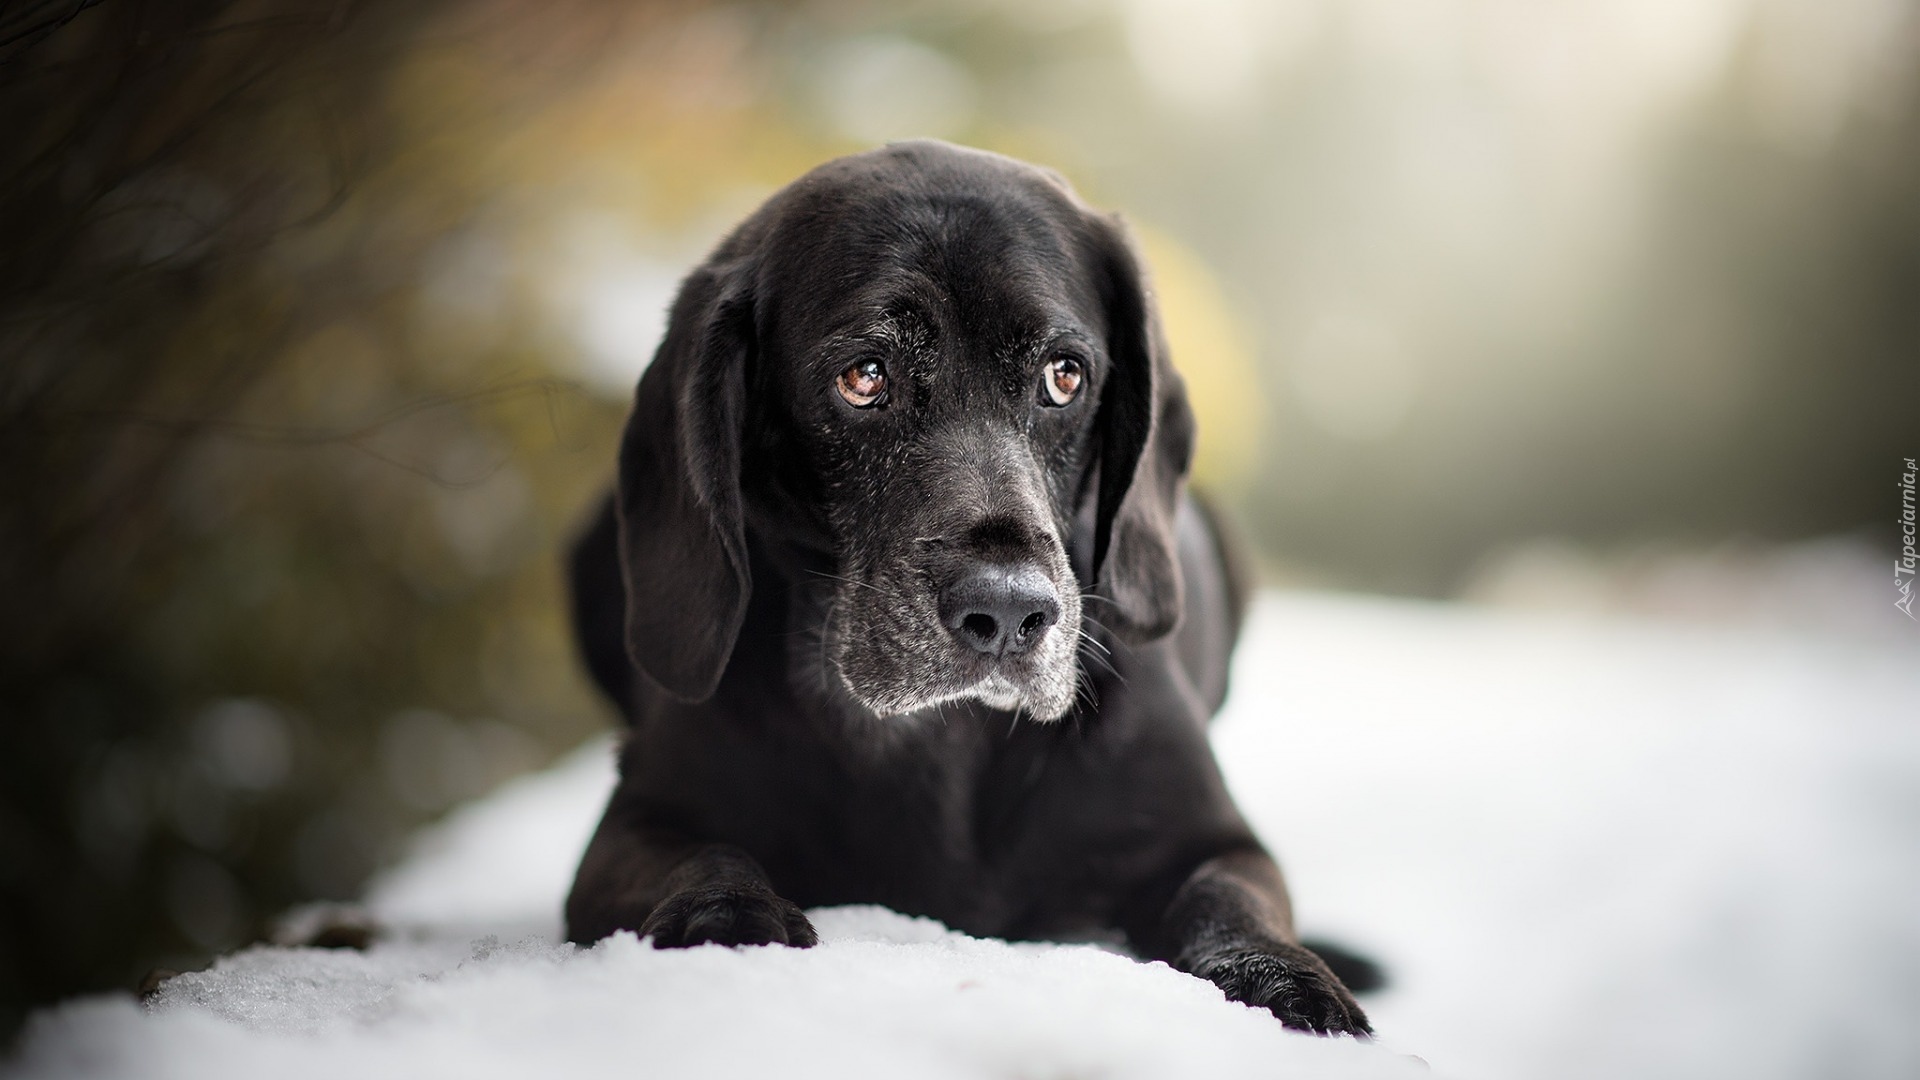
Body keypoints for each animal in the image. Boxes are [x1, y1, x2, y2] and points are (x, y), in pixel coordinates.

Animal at [560, 138, 1374, 1030]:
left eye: (1065, 376)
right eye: (864, 376)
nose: (1010, 612)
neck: (940, 740)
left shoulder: (1215, 839)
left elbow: (1230, 900)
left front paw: (1287, 978)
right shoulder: (638, 823)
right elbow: (705, 855)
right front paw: (729, 919)